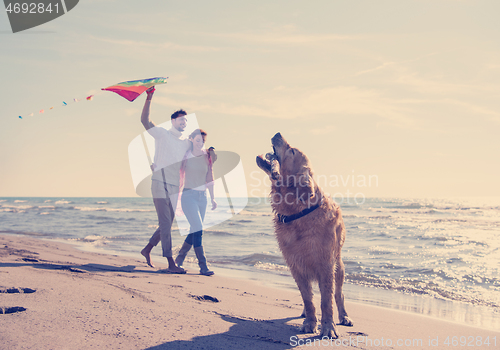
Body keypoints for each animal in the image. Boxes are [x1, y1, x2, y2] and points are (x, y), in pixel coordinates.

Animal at [256, 133, 354, 338]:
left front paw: (328, 327)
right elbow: (308, 299)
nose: (277, 133)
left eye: (292, 151)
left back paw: (344, 317)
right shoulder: (295, 264)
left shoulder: (325, 264)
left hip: (339, 265)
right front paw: (310, 322)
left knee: (339, 294)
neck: (299, 212)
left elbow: (326, 300)